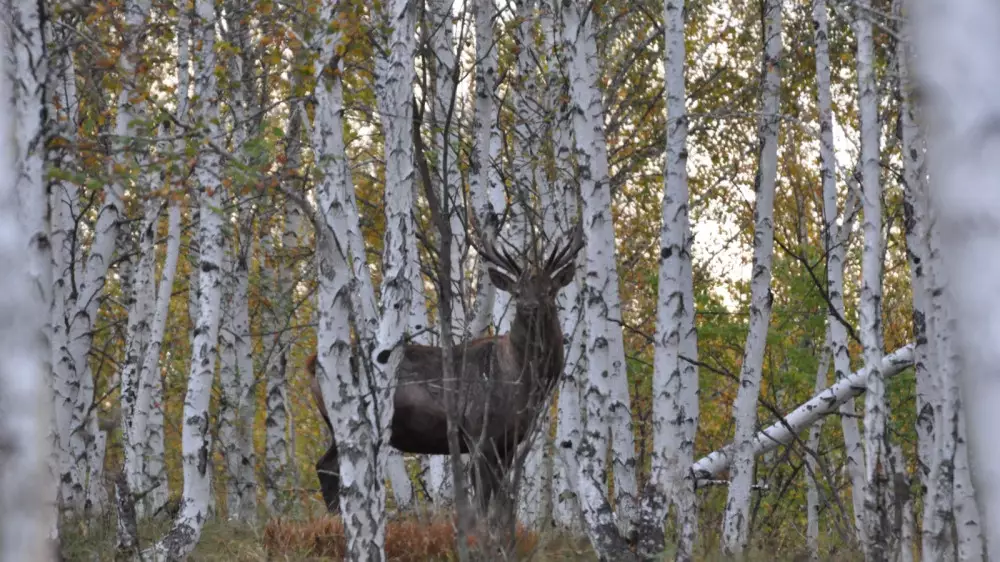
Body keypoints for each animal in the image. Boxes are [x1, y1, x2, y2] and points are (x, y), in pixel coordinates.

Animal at [308, 223, 584, 516]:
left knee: (325, 465)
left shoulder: (508, 442)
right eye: (517, 292)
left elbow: (499, 497)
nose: (531, 308)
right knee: (331, 467)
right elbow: (483, 497)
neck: (522, 383)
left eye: (549, 290)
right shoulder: (478, 432)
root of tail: (312, 363)